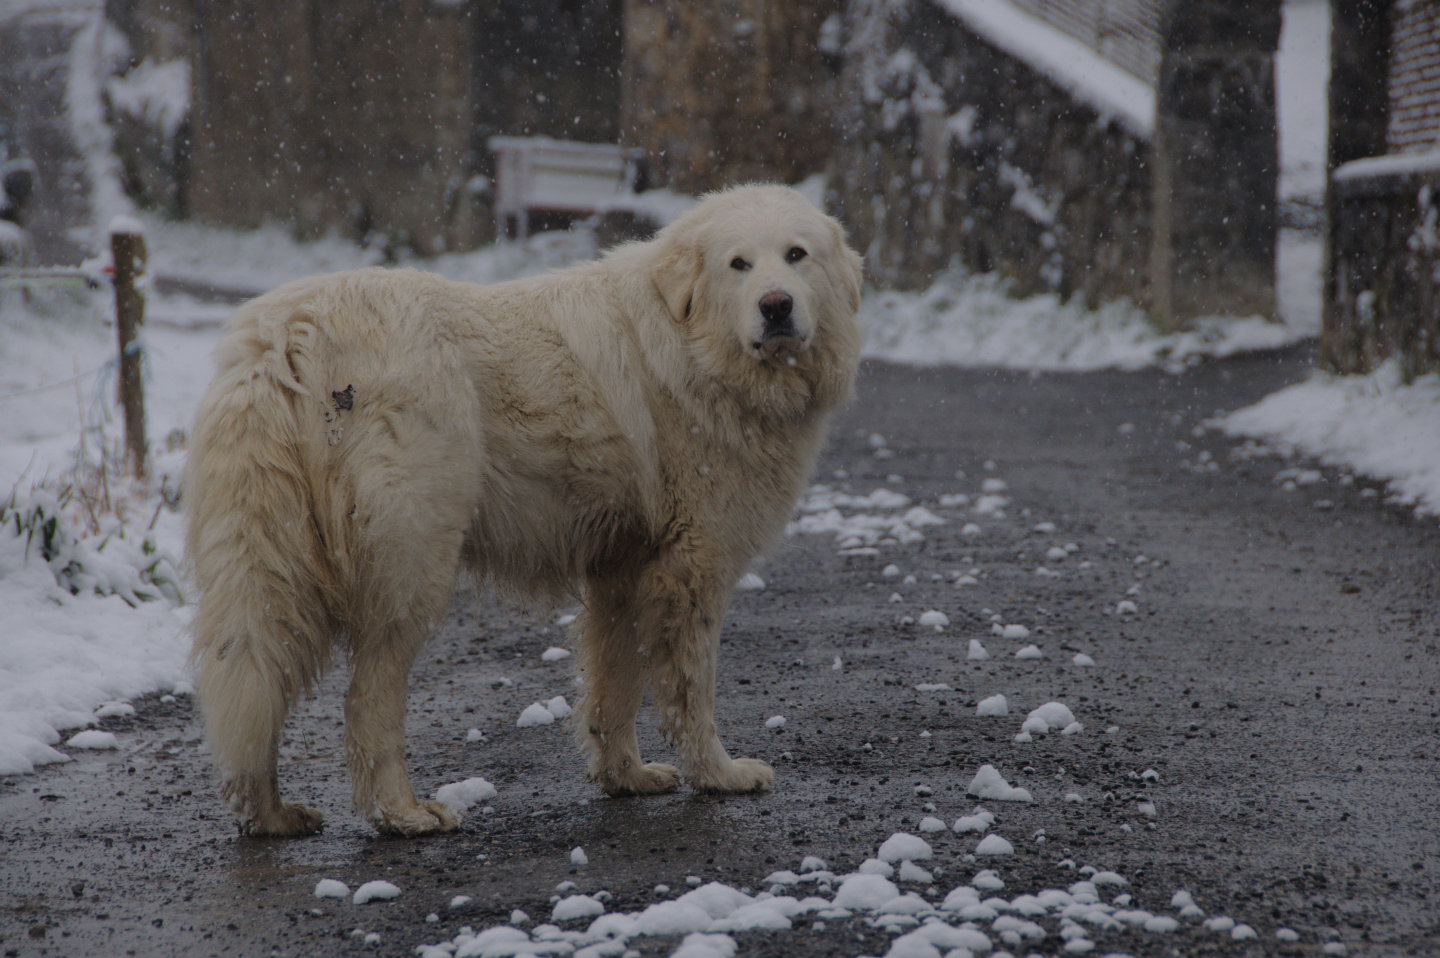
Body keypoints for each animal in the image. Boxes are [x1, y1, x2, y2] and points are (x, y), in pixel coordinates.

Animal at [191, 182, 864, 835]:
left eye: (796, 255)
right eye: (738, 264)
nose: (776, 305)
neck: (690, 345)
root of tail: (292, 332)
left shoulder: (624, 568)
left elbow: (615, 685)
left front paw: (626, 776)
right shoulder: (693, 565)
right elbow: (691, 689)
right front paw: (721, 775)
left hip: (273, 563)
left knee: (255, 680)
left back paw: (270, 814)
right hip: (411, 567)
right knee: (366, 702)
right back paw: (405, 814)